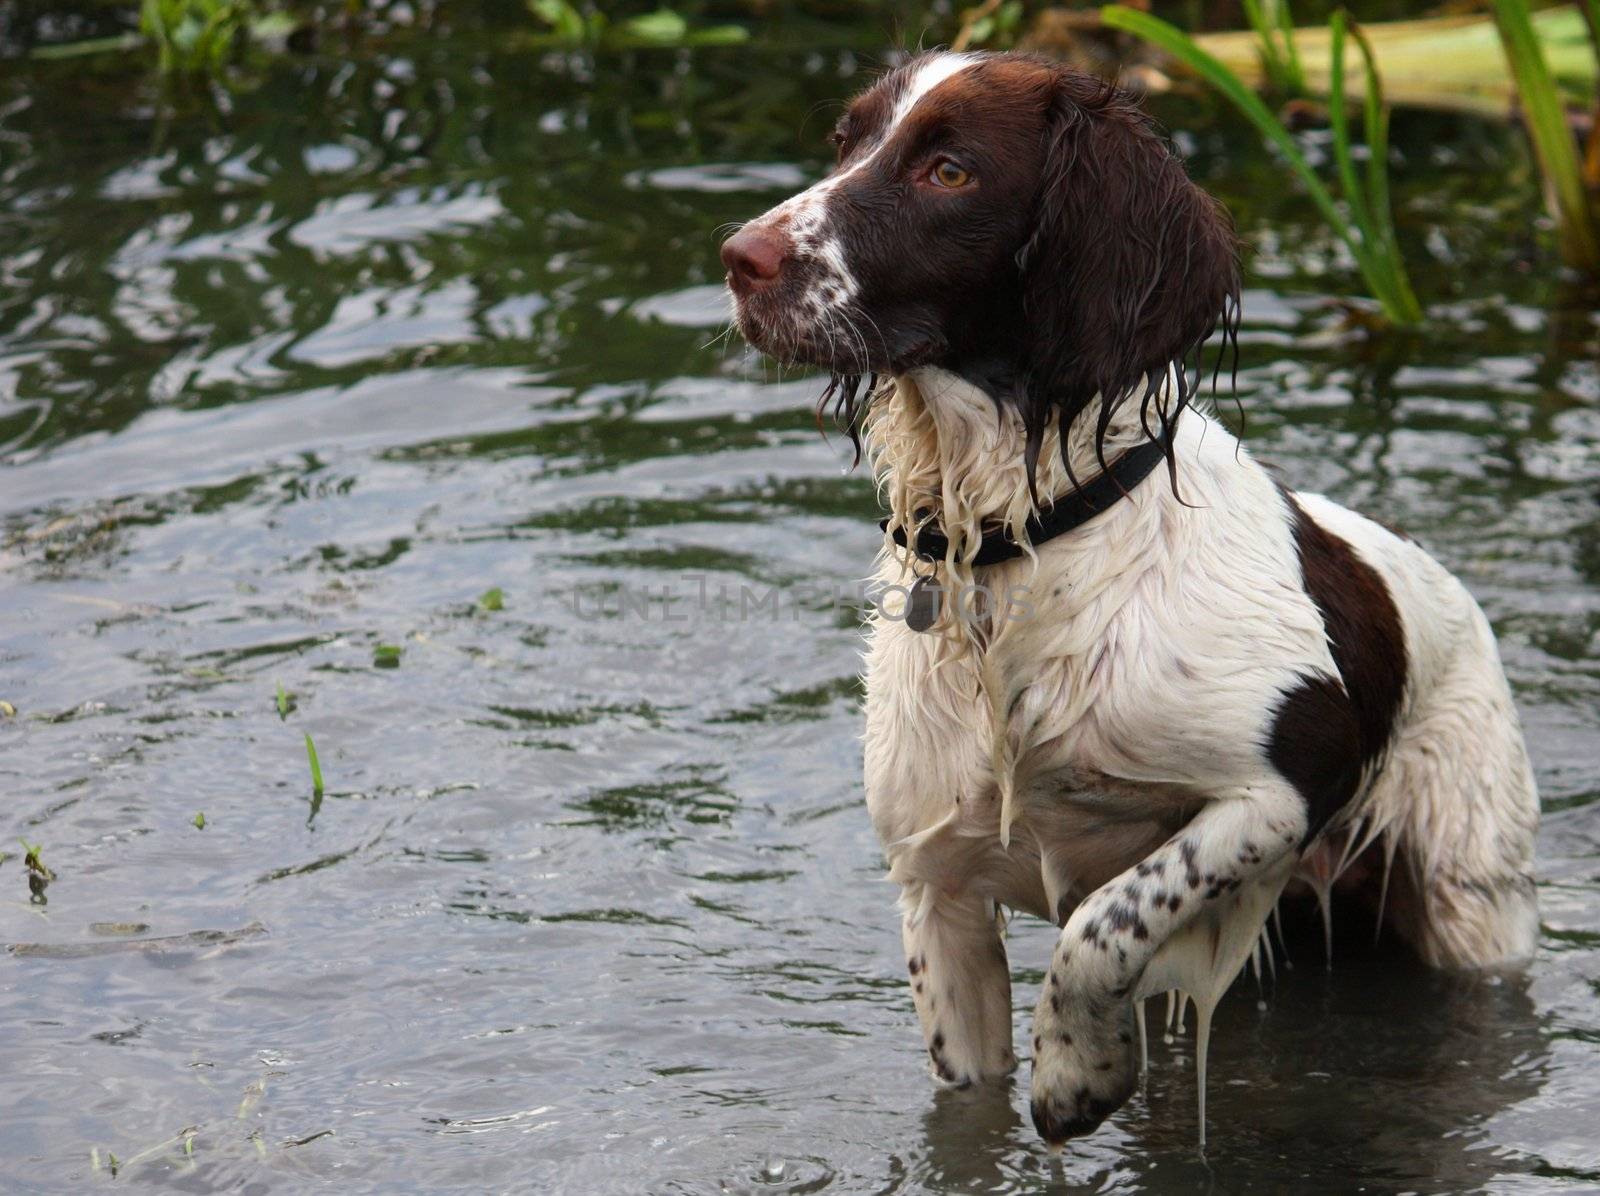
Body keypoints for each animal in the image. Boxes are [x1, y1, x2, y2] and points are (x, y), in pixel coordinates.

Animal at [716, 48, 1536, 1151]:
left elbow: (1098, 922)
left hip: (1467, 897)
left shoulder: (1286, 780)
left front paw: (1077, 1072)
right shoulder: (935, 890)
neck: (1020, 549)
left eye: (949, 171)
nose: (739, 257)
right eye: (847, 142)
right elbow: (969, 1109)